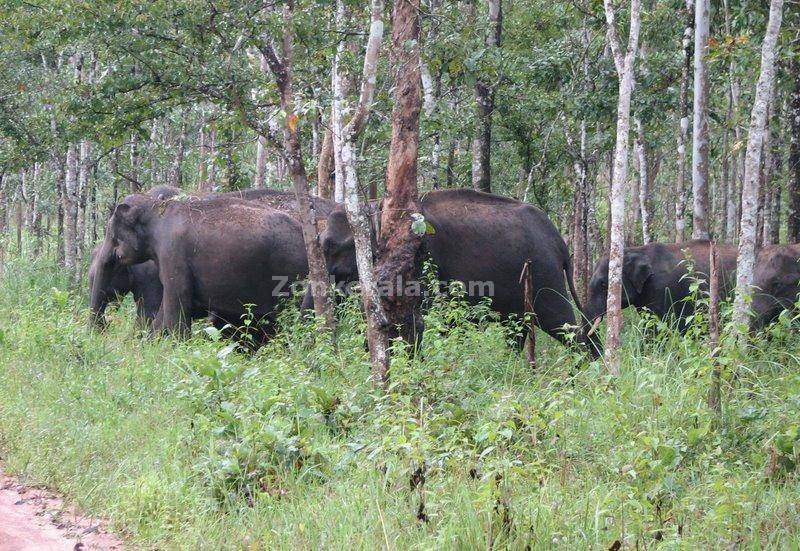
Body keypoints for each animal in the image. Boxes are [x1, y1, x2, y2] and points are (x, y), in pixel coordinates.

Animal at [310, 189, 580, 344]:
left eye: (332, 247)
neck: (378, 208)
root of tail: (560, 242)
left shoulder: (422, 260)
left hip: (545, 275)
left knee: (564, 325)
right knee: (517, 329)